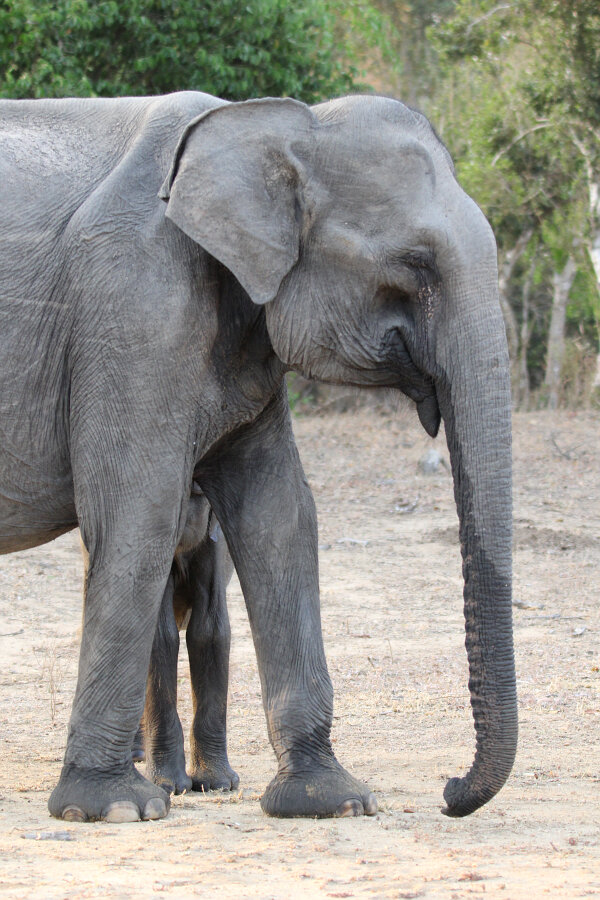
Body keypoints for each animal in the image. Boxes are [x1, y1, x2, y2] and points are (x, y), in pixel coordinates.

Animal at [0, 90, 516, 823]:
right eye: (414, 263)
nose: (448, 791)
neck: (277, 128)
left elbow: (282, 516)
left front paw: (333, 800)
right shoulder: (133, 305)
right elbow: (137, 510)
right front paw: (116, 809)